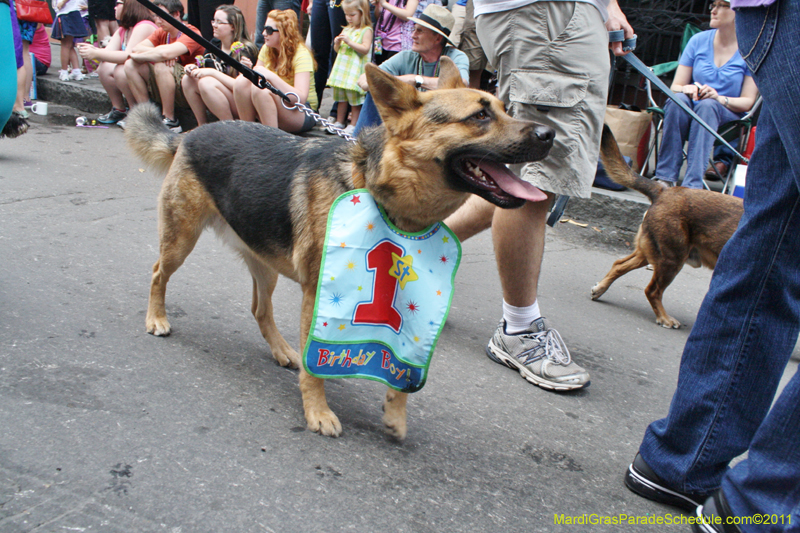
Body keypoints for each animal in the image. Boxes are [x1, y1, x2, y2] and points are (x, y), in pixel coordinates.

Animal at [125, 58, 556, 438]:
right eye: (479, 116)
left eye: (503, 108)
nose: (550, 135)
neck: (379, 193)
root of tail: (191, 133)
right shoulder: (316, 295)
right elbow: (315, 367)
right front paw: (317, 412)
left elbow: (399, 365)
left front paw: (395, 414)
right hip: (182, 239)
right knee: (158, 274)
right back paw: (156, 318)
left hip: (263, 262)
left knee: (260, 309)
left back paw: (282, 350)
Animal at [592, 126, 744, 326]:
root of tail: (663, 191)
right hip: (672, 260)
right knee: (652, 290)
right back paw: (664, 318)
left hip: (652, 253)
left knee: (619, 264)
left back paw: (600, 288)